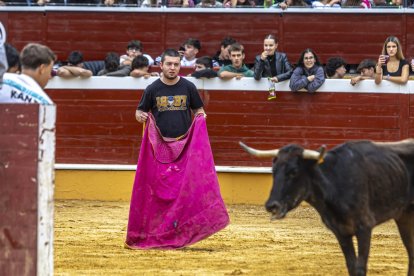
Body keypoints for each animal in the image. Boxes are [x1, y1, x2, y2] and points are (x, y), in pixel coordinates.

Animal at [239, 139, 414, 276]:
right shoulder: (341, 232)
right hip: (404, 216)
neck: (335, 183)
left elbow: (360, 267)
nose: (271, 205)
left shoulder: (364, 227)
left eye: (293, 171)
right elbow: (351, 267)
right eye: (273, 171)